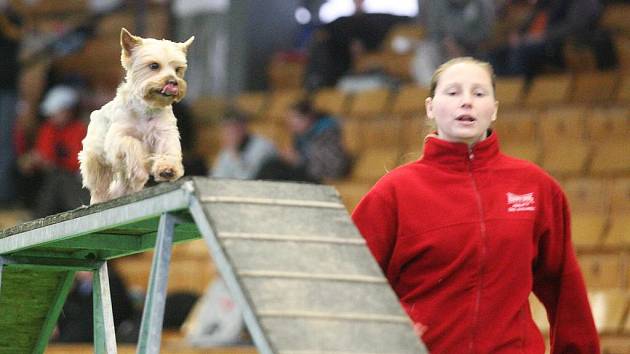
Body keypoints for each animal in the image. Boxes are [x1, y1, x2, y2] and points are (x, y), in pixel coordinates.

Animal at [80, 28, 196, 205]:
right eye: (154, 65)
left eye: (177, 69)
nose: (173, 82)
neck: (146, 108)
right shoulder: (118, 139)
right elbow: (132, 143)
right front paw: (140, 172)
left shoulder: (164, 133)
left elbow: (168, 150)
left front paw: (167, 169)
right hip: (96, 159)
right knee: (100, 183)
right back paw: (100, 199)